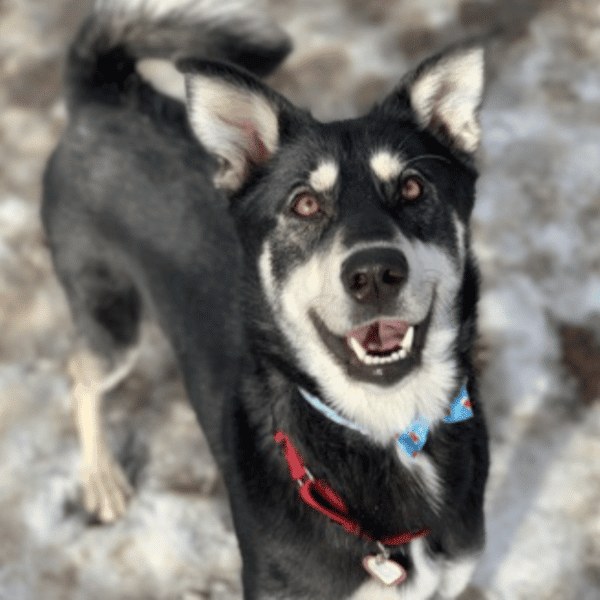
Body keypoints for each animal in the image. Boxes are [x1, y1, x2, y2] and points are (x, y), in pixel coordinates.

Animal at [44, 2, 490, 596]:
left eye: (414, 188)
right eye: (304, 204)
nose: (375, 274)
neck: (391, 425)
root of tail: (103, 99)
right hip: (110, 313)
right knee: (80, 373)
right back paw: (102, 479)